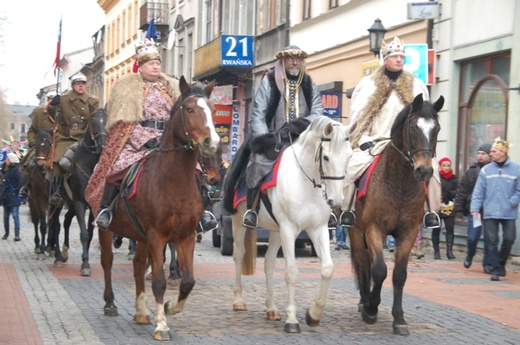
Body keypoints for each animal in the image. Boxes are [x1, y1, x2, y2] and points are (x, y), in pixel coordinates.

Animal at [99, 76, 219, 340]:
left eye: (212, 110)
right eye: (189, 109)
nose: (212, 142)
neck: (173, 180)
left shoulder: (185, 236)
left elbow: (188, 281)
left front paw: (169, 307)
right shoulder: (157, 236)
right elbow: (158, 281)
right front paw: (162, 325)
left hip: (140, 236)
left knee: (137, 266)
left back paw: (141, 312)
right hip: (107, 229)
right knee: (107, 262)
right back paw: (110, 303)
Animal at [230, 116, 352, 334]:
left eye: (349, 156)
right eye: (326, 157)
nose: (337, 201)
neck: (306, 182)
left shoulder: (318, 229)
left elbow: (327, 268)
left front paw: (313, 314)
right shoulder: (289, 229)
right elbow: (292, 273)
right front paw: (292, 320)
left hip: (276, 231)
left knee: (269, 262)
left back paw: (271, 308)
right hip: (239, 222)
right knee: (238, 255)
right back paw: (239, 300)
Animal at [350, 92, 442, 334]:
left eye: (436, 128)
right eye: (413, 127)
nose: (424, 170)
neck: (400, 184)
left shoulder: (408, 232)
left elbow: (399, 275)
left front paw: (399, 318)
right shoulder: (374, 229)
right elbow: (379, 270)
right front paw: (371, 308)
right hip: (356, 231)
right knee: (363, 262)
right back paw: (365, 301)